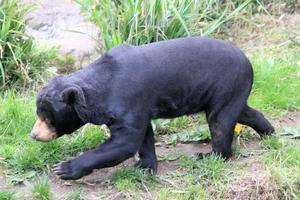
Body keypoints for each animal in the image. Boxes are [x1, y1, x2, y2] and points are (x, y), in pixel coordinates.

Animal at [30, 37, 274, 180]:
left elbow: (124, 142)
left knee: (220, 123)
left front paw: (63, 169)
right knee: (243, 112)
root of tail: (247, 61)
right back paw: (268, 132)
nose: (34, 134)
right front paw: (145, 166)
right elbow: (143, 136)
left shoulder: (127, 102)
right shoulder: (138, 108)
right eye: (38, 114)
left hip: (224, 84)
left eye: (48, 118)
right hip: (228, 91)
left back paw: (208, 156)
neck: (100, 89)